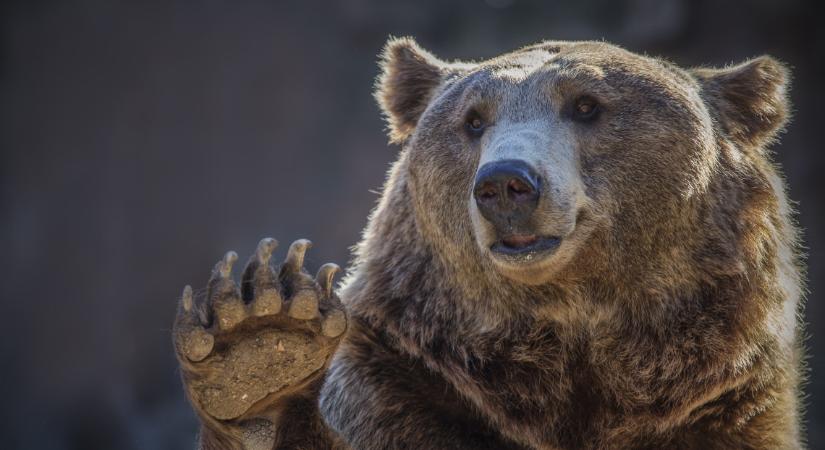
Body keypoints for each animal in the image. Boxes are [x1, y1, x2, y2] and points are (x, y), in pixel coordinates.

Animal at [172, 37, 804, 448]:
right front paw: (259, 349)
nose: (505, 183)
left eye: (586, 105)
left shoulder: (720, 408)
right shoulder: (404, 389)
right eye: (474, 120)